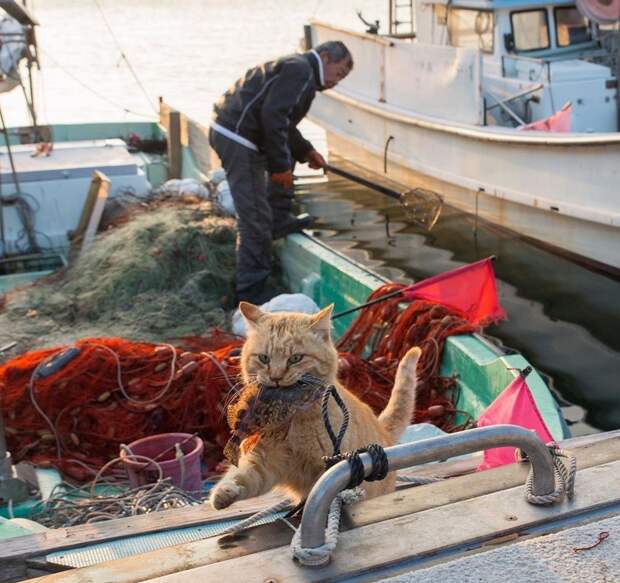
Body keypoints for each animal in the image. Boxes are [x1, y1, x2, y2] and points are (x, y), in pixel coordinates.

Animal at [209, 302, 422, 512]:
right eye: (264, 358)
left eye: (296, 358)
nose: (276, 377)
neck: (294, 419)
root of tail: (383, 430)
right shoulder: (264, 461)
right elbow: (241, 475)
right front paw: (224, 492)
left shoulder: (330, 468)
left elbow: (326, 494)